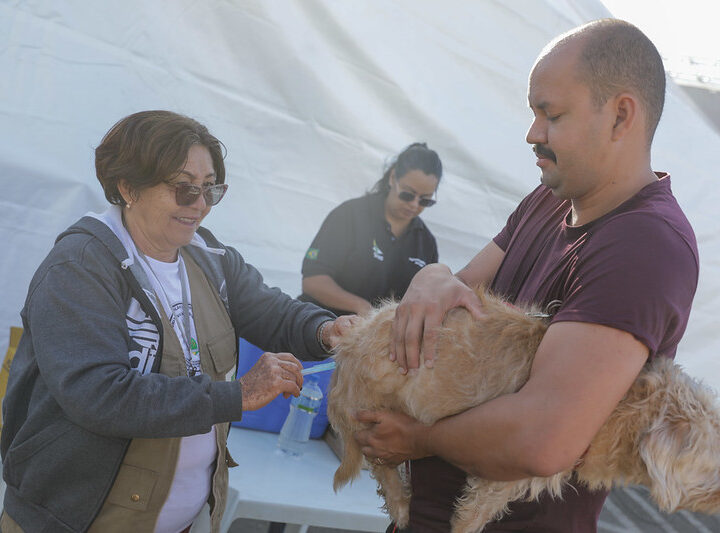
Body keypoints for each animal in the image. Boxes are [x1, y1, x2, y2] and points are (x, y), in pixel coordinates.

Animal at [326, 290, 720, 532]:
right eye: (714, 462)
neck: (626, 406)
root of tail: (347, 349)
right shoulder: (503, 472)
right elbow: (472, 515)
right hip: (371, 408)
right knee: (383, 470)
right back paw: (402, 505)